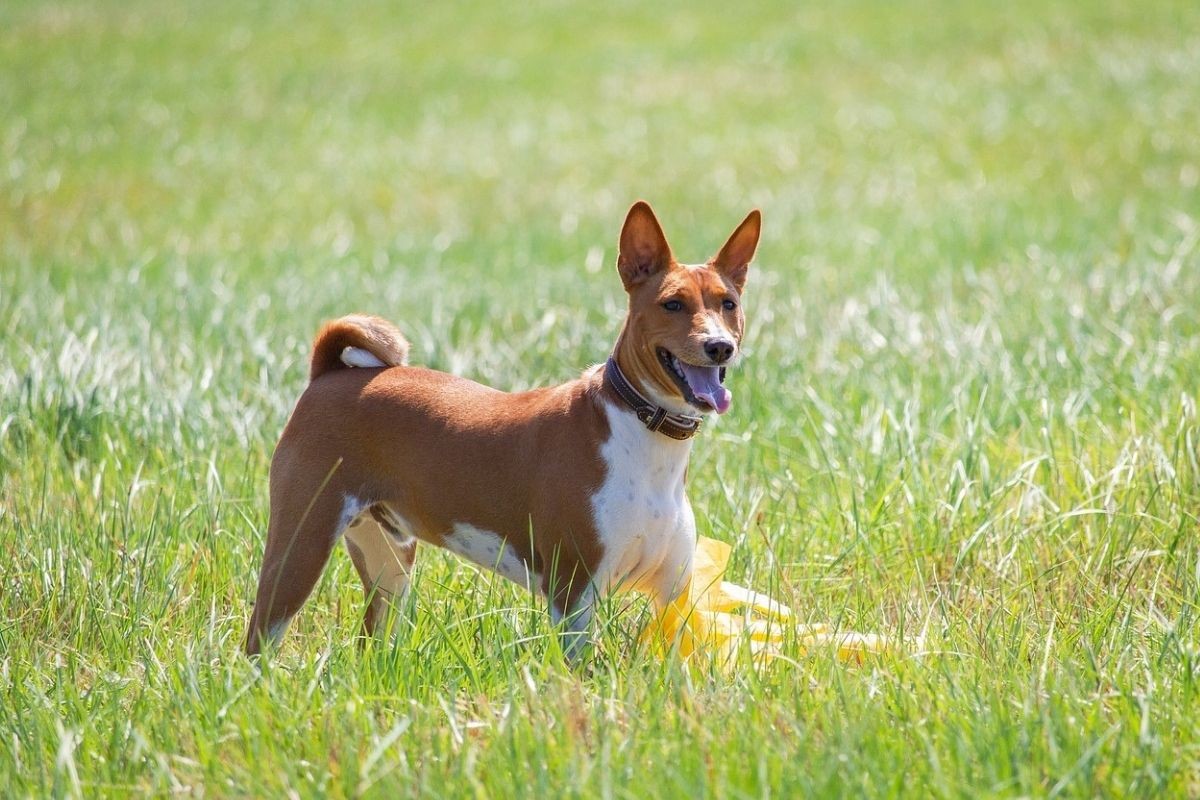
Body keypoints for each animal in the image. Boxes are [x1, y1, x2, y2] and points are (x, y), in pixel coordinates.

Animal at [243, 203, 758, 662]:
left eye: (728, 304)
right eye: (673, 304)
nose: (719, 346)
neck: (644, 435)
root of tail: (328, 375)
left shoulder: (674, 595)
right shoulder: (574, 593)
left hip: (389, 562)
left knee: (371, 641)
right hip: (300, 547)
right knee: (259, 640)